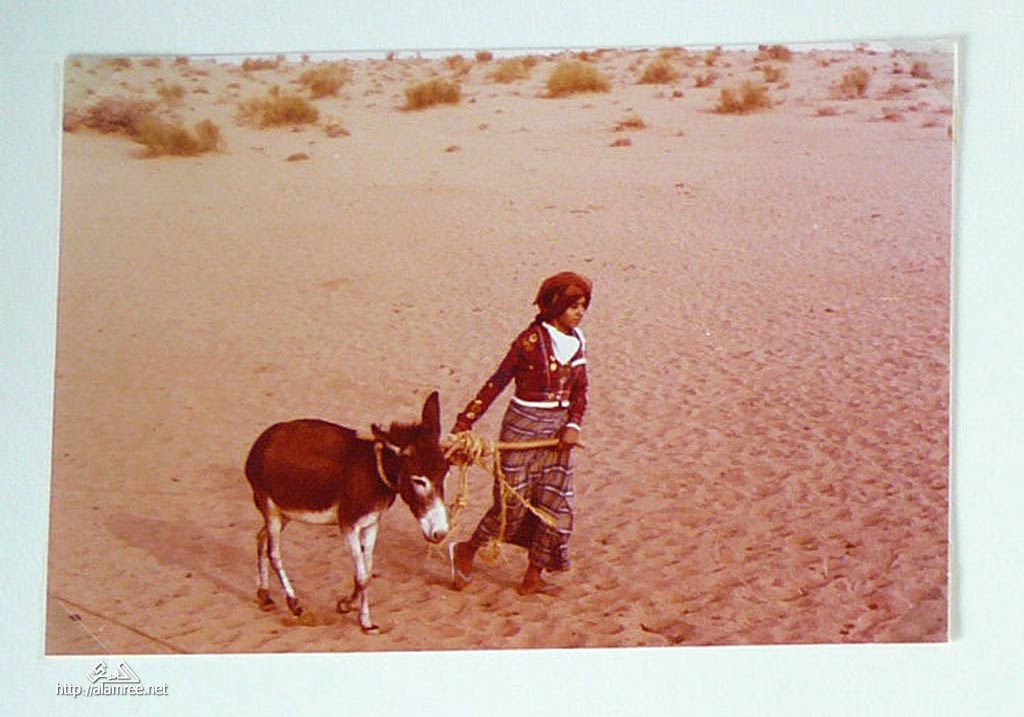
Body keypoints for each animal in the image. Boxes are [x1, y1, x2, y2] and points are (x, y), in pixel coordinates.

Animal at [243, 391, 450, 634]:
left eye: (445, 473)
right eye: (418, 480)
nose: (440, 533)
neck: (374, 472)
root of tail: (261, 442)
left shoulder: (371, 524)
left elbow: (366, 574)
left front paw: (360, 616)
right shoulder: (348, 525)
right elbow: (361, 577)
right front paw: (352, 612)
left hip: (284, 512)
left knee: (260, 538)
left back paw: (264, 596)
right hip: (271, 510)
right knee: (273, 553)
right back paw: (294, 604)